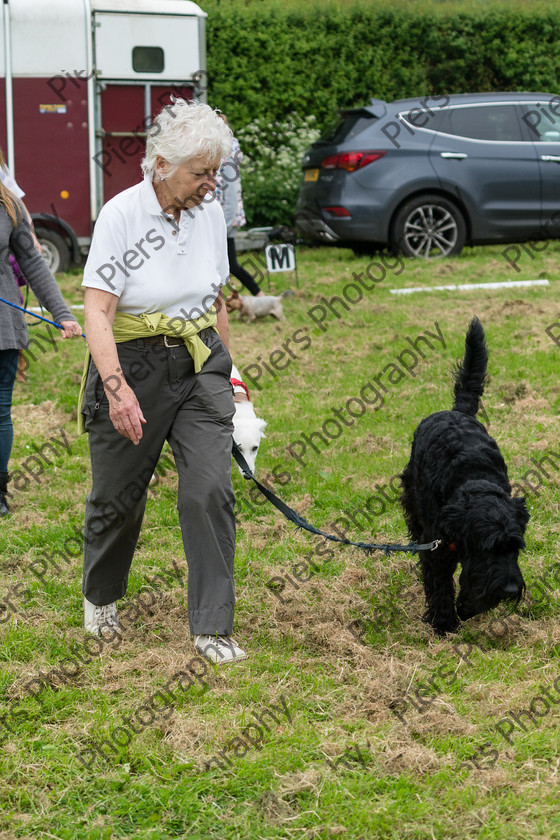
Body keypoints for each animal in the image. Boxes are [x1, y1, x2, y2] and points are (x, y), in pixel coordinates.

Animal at [400, 318, 528, 632]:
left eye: (515, 547)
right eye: (489, 547)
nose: (510, 589)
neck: (474, 479)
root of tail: (457, 411)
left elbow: (473, 580)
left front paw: (469, 607)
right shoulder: (436, 550)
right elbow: (440, 585)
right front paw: (446, 623)